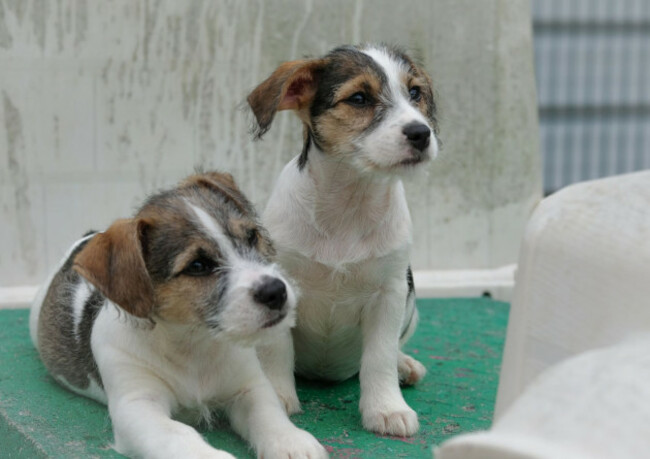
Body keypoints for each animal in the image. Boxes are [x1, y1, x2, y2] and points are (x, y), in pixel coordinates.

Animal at [28, 172, 326, 459]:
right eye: (198, 265)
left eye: (252, 236)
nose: (276, 291)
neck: (193, 344)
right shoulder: (138, 406)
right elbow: (178, 435)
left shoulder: (250, 388)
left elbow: (269, 415)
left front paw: (294, 443)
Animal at [246, 44, 438, 438]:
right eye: (359, 98)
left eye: (415, 93)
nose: (421, 133)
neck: (349, 205)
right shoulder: (279, 287)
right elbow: (276, 351)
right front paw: (279, 398)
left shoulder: (390, 293)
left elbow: (379, 357)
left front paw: (386, 409)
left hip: (411, 304)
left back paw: (405, 365)